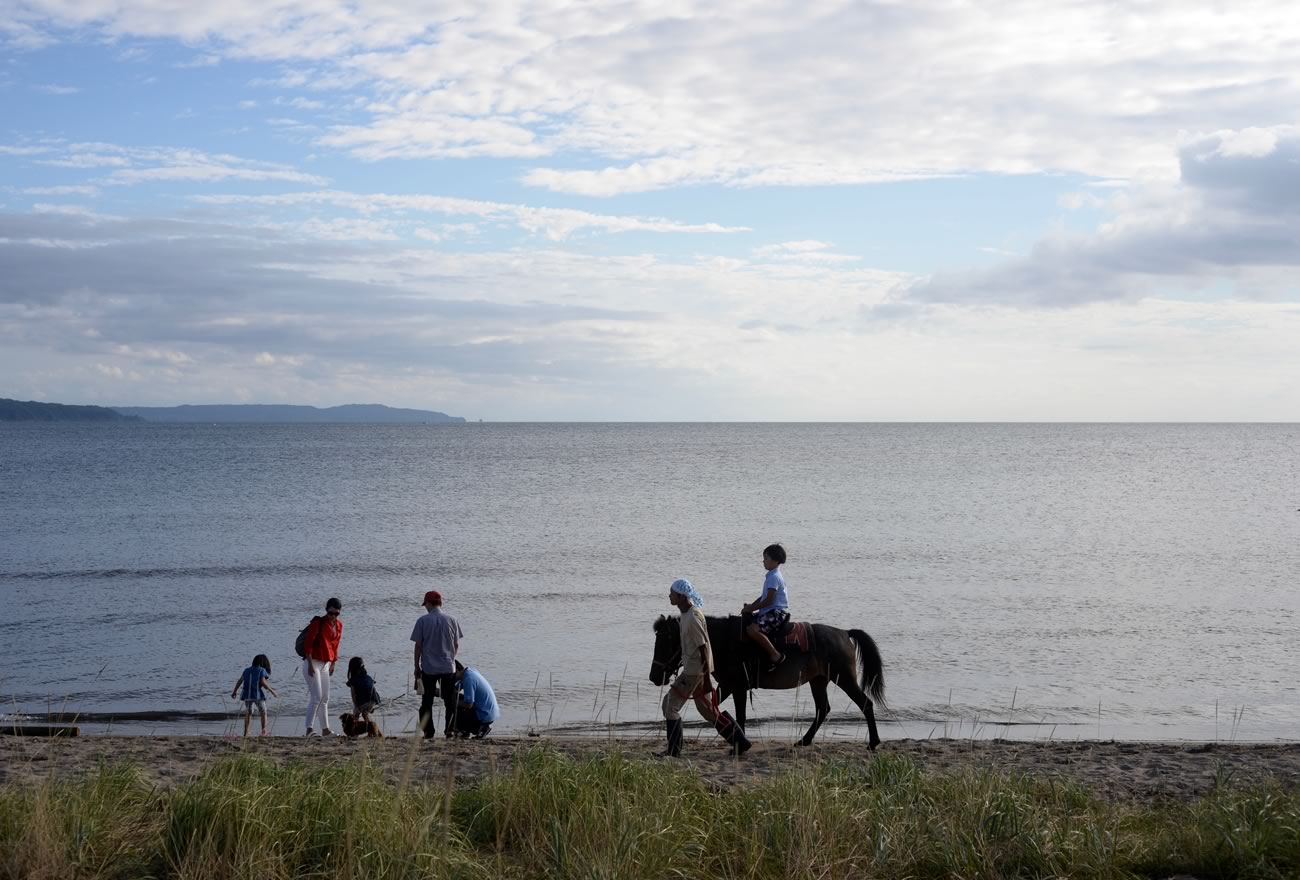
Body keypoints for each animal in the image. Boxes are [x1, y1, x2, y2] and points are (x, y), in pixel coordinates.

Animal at [647, 610, 883, 748]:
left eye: (666, 641)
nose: (654, 676)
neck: (724, 642)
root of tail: (844, 633)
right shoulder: (728, 685)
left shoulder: (738, 687)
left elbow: (740, 715)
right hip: (818, 680)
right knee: (822, 709)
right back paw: (804, 740)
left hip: (844, 678)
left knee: (865, 704)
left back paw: (873, 742)